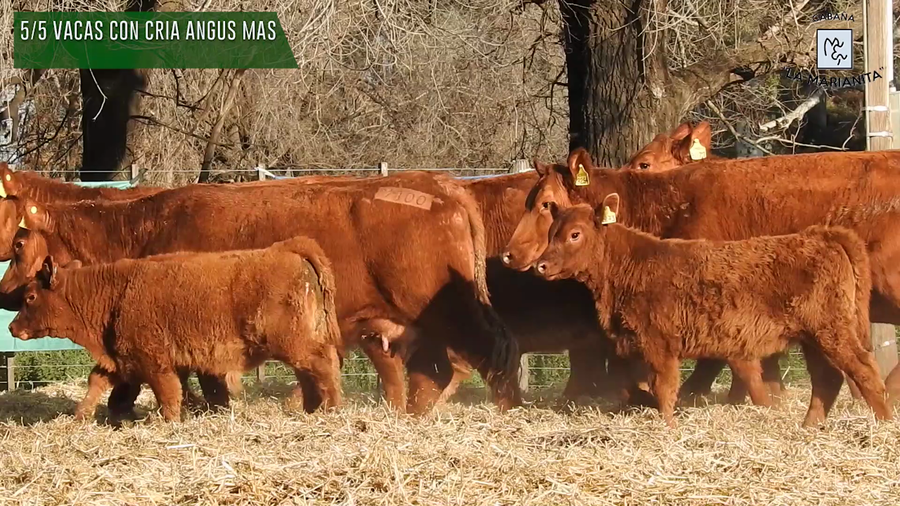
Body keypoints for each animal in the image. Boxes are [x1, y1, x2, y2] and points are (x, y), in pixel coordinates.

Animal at [8, 236, 343, 421]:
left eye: (30, 296)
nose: (12, 327)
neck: (114, 291)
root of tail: (288, 250)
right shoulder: (120, 358)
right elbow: (97, 382)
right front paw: (80, 416)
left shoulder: (154, 363)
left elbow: (167, 392)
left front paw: (165, 420)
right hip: (297, 347)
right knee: (311, 373)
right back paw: (311, 409)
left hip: (296, 344)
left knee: (324, 365)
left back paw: (332, 408)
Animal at [534, 202, 891, 428]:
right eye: (551, 233)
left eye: (575, 234)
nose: (541, 265)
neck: (629, 266)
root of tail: (822, 235)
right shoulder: (634, 345)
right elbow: (630, 386)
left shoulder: (658, 344)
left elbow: (663, 387)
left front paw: (668, 425)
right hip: (813, 338)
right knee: (827, 379)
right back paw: (808, 427)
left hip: (831, 331)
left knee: (863, 370)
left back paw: (886, 424)